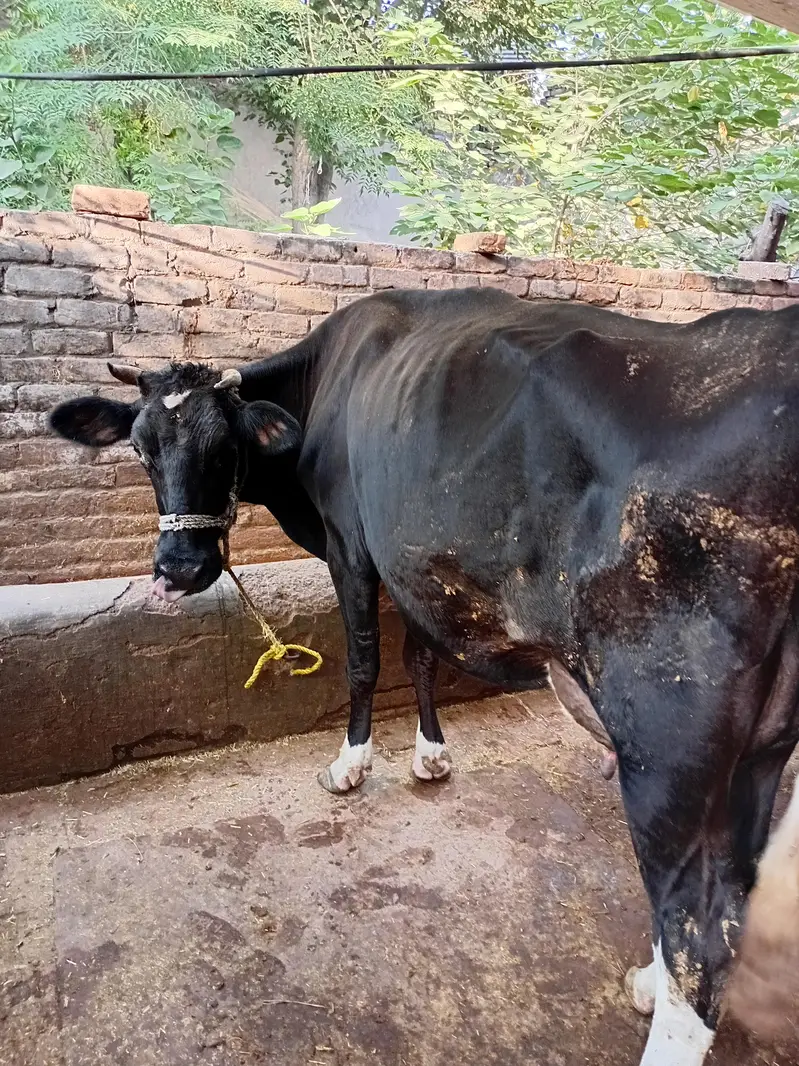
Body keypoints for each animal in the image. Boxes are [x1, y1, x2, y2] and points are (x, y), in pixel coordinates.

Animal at [48, 287, 799, 1064]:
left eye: (225, 449)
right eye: (141, 451)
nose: (180, 569)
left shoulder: (351, 541)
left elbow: (364, 658)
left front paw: (351, 764)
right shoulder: (413, 557)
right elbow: (419, 655)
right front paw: (431, 753)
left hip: (665, 738)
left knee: (698, 932)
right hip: (760, 747)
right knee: (731, 895)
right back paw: (653, 978)